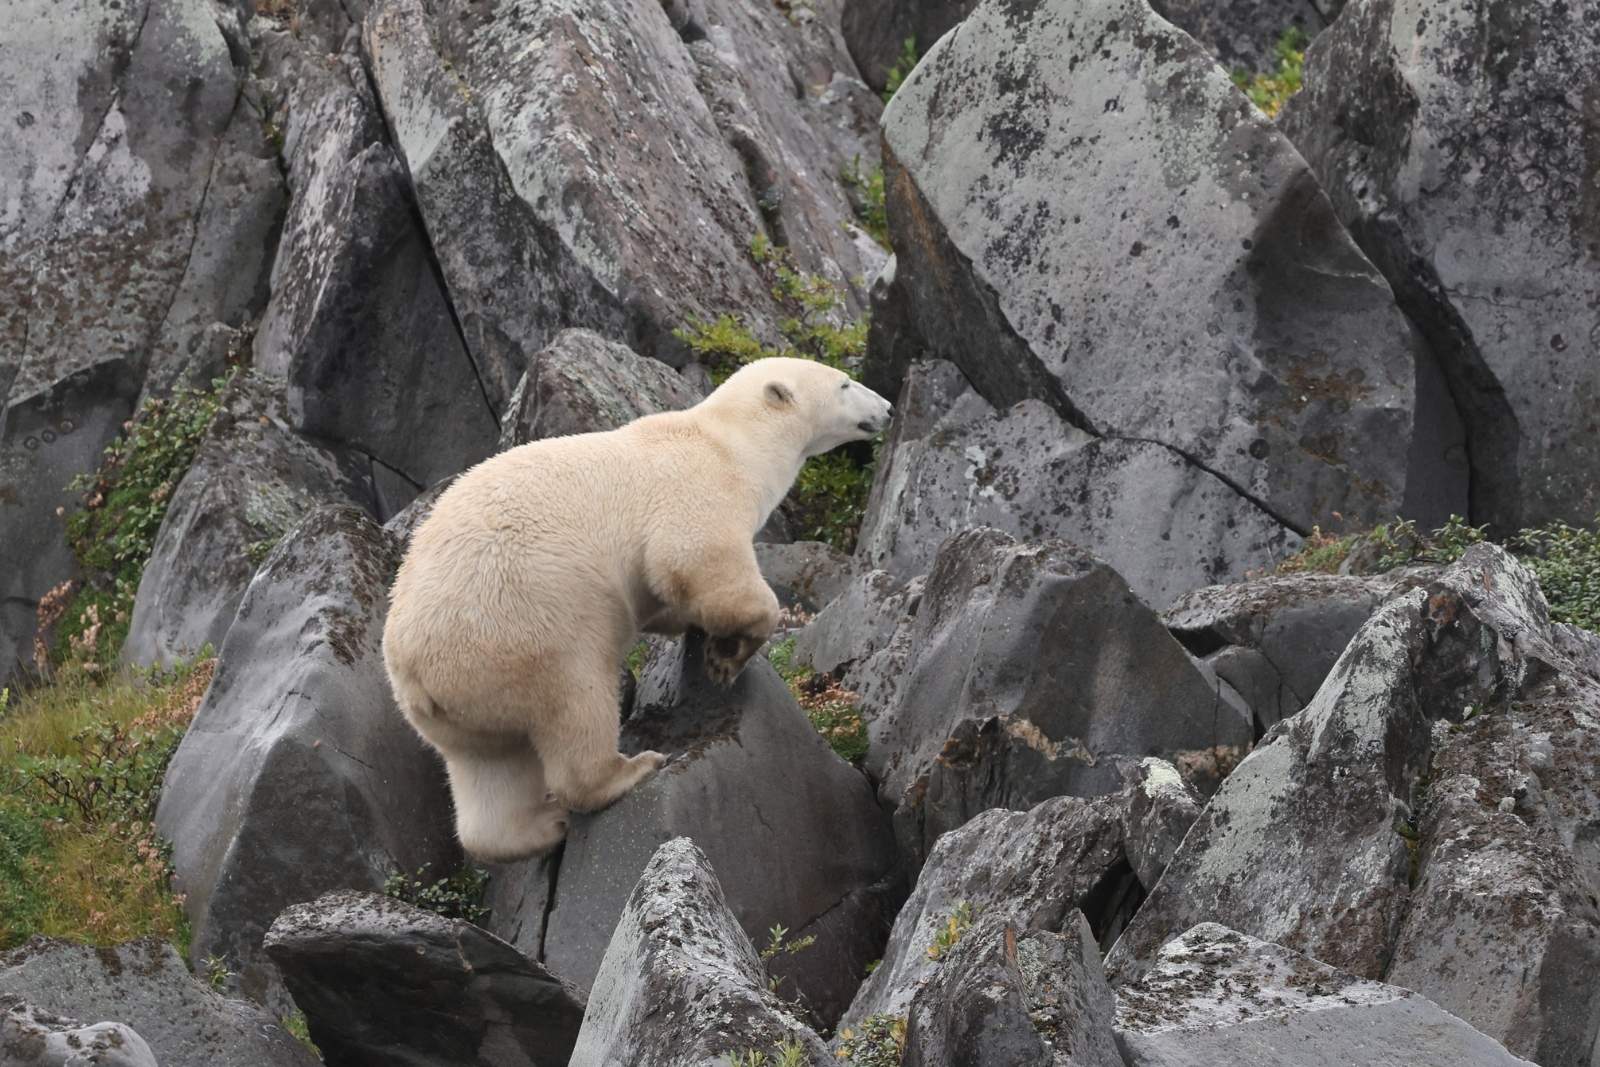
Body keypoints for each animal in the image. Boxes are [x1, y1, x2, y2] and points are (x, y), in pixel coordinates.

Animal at [382, 356, 894, 861]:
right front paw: (728, 654)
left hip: (459, 708)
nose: (889, 409)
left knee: (489, 768)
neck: (730, 442)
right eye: (845, 383)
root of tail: (415, 672)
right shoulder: (697, 489)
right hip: (527, 630)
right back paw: (629, 770)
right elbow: (693, 559)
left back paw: (543, 825)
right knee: (577, 703)